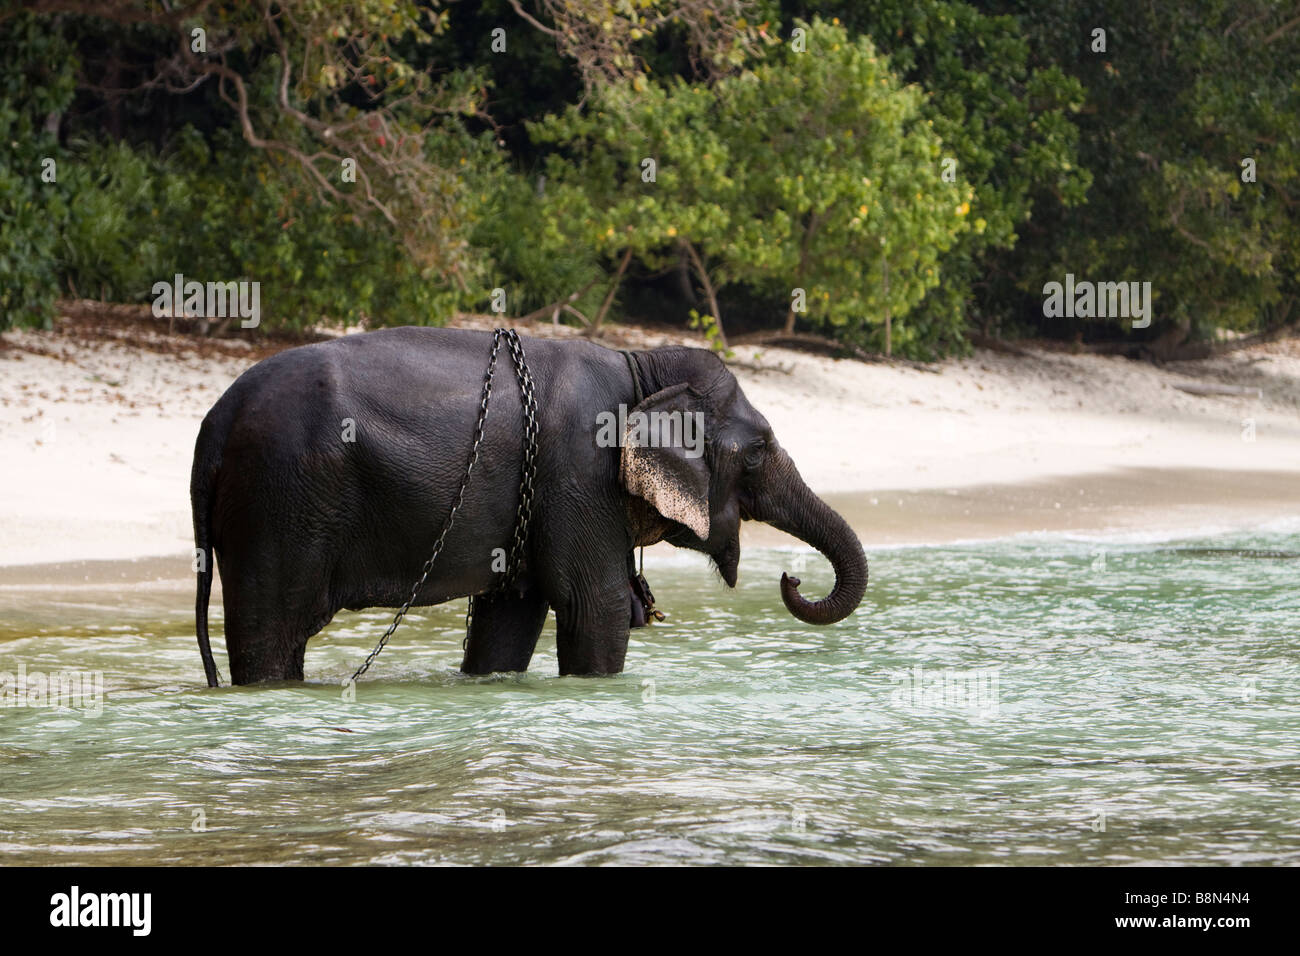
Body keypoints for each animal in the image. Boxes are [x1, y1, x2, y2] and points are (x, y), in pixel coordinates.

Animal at [189, 330, 863, 686]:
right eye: (757, 452)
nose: (791, 576)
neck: (640, 366)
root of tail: (213, 425)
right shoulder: (579, 476)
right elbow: (597, 607)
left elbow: (510, 618)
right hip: (282, 503)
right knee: (271, 630)